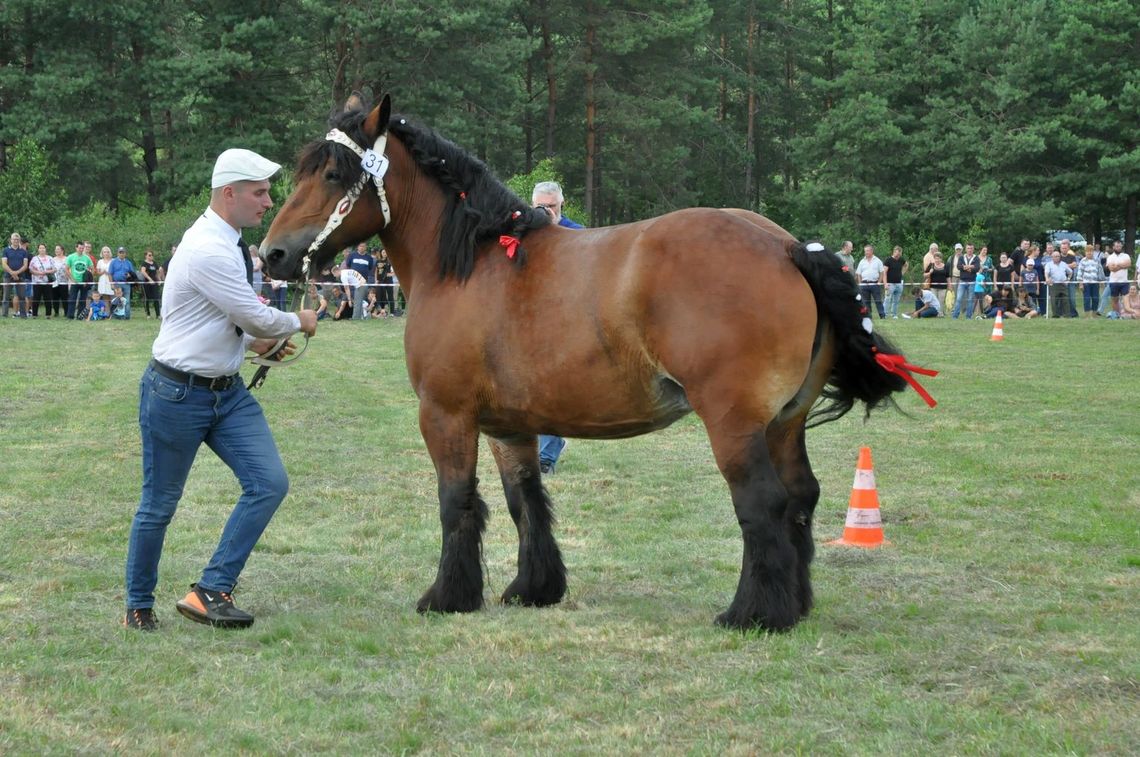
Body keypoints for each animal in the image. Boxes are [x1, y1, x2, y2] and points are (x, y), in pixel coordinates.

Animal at [261, 94, 934, 629]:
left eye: (332, 173)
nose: (272, 255)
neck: (470, 263)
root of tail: (787, 245)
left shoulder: (446, 414)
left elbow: (457, 501)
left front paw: (448, 596)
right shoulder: (509, 425)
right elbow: (525, 501)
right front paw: (534, 587)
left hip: (735, 423)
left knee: (762, 502)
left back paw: (752, 613)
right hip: (784, 423)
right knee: (799, 498)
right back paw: (792, 606)